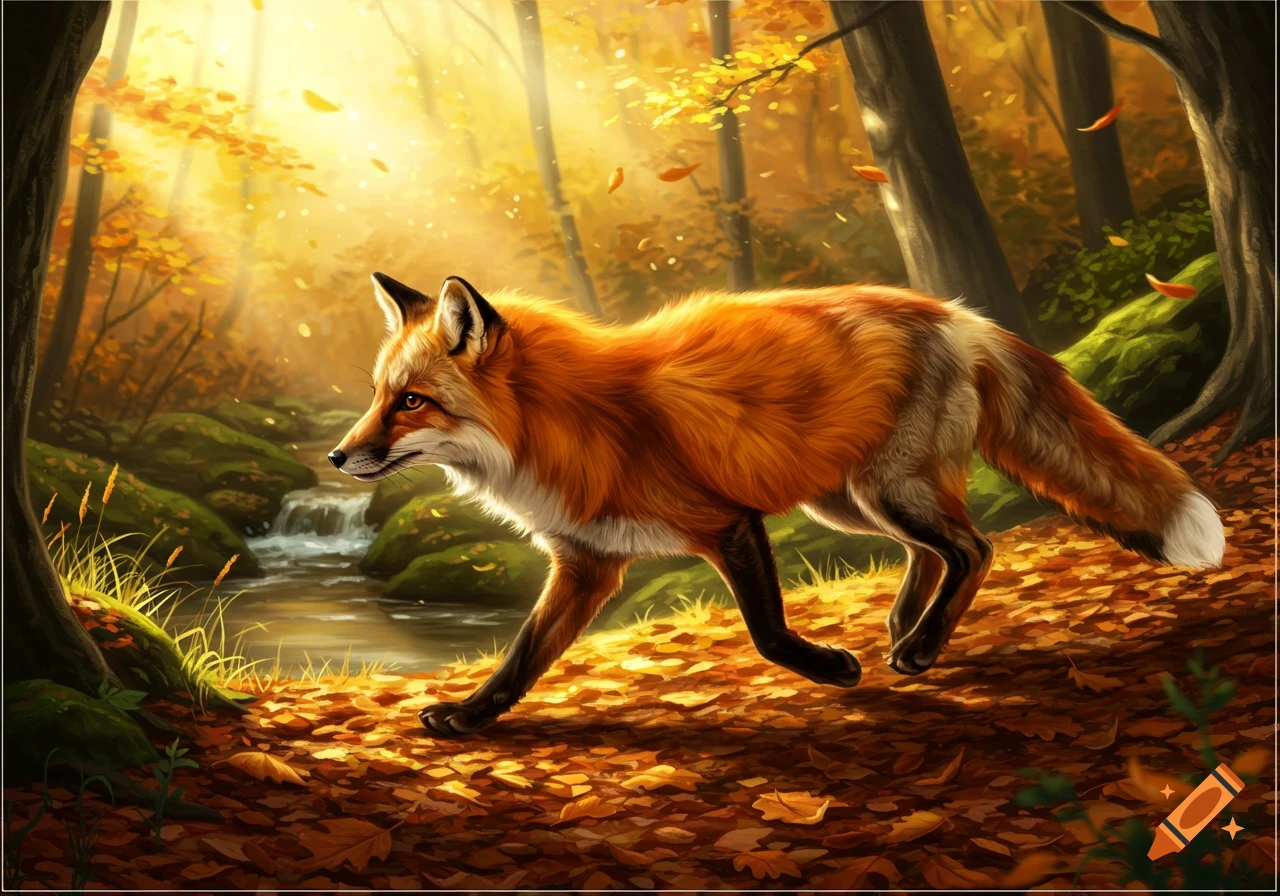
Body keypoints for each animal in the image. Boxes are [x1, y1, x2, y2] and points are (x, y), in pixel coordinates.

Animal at [331, 272, 1226, 736]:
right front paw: (470, 716)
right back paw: (905, 627)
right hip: (850, 499)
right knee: (934, 550)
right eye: (378, 395)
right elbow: (521, 655)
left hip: (885, 489)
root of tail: (956, 313)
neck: (569, 421)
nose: (338, 457)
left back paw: (920, 645)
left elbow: (765, 631)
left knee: (976, 548)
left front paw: (829, 669)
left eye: (411, 402)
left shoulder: (725, 522)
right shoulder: (587, 563)